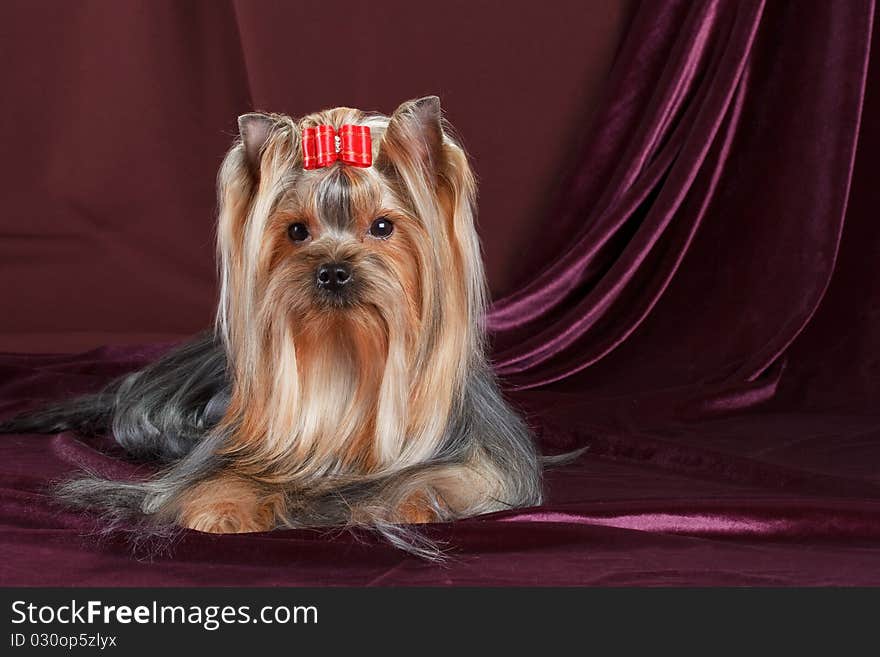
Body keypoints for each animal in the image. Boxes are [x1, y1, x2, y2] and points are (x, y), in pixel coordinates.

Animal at [1, 97, 544, 556]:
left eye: (383, 227)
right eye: (297, 231)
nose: (332, 270)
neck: (345, 357)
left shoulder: (489, 460)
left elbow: (462, 478)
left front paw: (415, 500)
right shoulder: (229, 450)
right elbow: (214, 481)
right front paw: (220, 509)